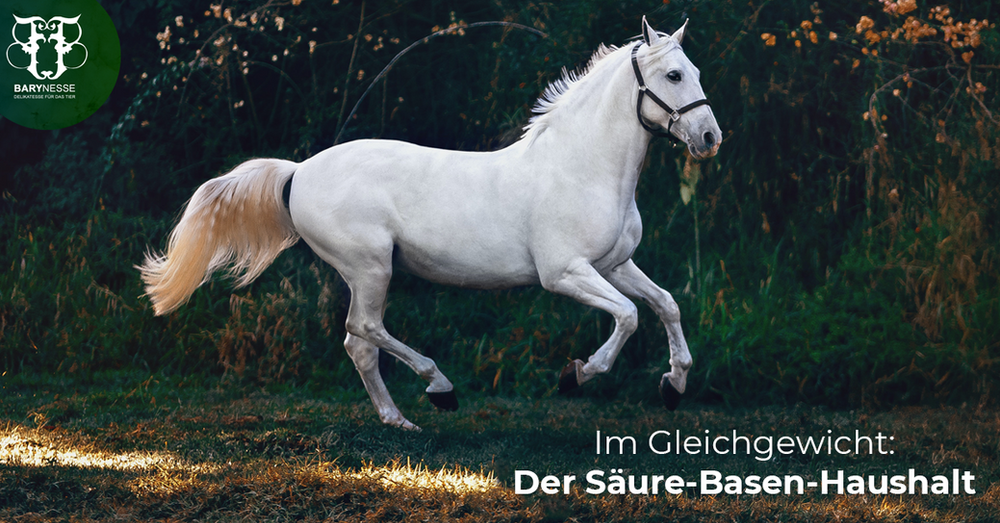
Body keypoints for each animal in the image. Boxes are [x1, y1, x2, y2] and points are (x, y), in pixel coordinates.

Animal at [139, 17, 722, 430]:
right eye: (673, 75)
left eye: (696, 73)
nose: (710, 138)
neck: (581, 167)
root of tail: (299, 171)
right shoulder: (565, 273)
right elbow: (628, 316)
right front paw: (576, 376)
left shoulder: (615, 264)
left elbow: (665, 304)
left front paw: (674, 385)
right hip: (370, 267)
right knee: (364, 330)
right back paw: (439, 389)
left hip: (368, 273)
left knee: (358, 344)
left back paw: (399, 420)